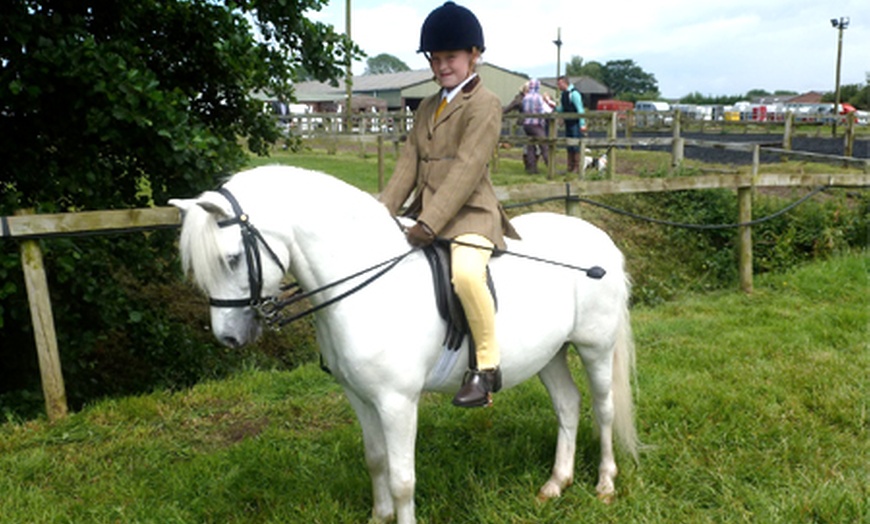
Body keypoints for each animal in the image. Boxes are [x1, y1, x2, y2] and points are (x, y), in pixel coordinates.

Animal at [169, 166, 640, 520]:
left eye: (231, 259)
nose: (229, 337)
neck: (367, 283)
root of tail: (599, 237)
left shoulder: (397, 402)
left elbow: (402, 479)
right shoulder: (360, 397)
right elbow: (376, 460)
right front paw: (378, 518)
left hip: (595, 349)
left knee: (603, 409)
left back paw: (605, 484)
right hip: (550, 354)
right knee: (567, 404)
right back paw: (555, 484)